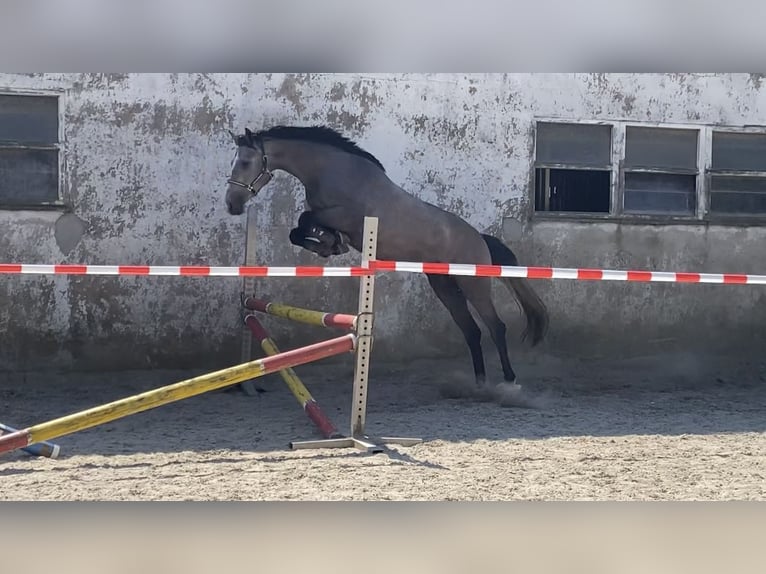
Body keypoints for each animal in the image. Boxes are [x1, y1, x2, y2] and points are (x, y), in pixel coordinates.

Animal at [225, 124, 548, 390]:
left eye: (245, 162)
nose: (232, 205)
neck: (331, 170)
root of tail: (480, 238)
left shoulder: (345, 216)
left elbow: (305, 220)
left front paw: (330, 243)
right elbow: (300, 229)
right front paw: (329, 244)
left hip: (473, 285)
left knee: (495, 327)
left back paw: (509, 381)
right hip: (443, 285)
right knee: (471, 330)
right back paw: (479, 383)